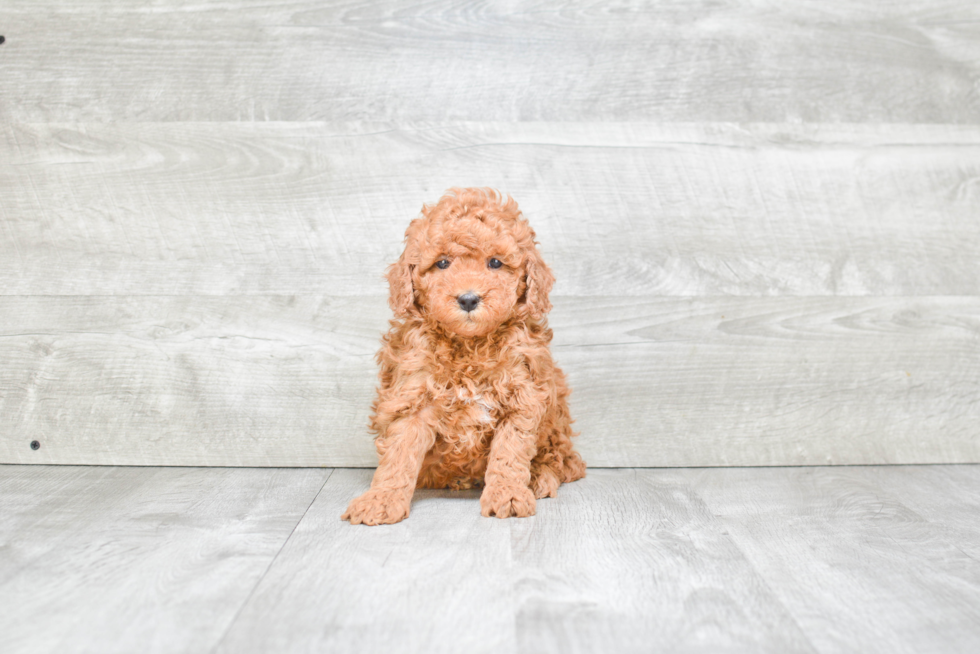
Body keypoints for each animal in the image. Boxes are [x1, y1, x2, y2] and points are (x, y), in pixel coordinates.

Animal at [340, 187, 584, 524]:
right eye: (442, 263)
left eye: (495, 263)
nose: (468, 299)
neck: (470, 346)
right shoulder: (411, 395)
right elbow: (399, 454)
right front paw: (381, 498)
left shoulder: (522, 394)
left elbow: (510, 452)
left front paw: (507, 494)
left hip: (556, 412)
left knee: (564, 460)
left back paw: (539, 477)